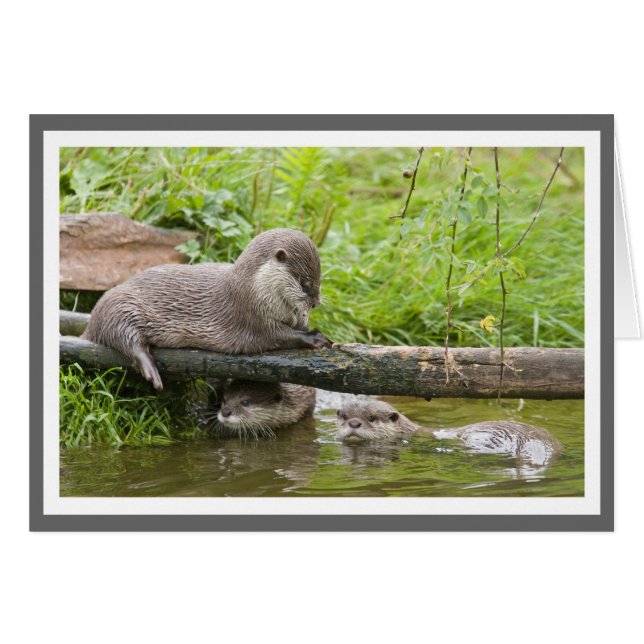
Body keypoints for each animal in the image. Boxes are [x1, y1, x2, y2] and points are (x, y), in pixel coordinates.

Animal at [82, 228, 332, 390]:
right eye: (304, 284)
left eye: (319, 282)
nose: (315, 303)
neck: (255, 288)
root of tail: (90, 324)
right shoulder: (250, 315)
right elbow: (277, 335)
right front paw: (314, 337)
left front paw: (307, 325)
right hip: (119, 306)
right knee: (125, 338)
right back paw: (150, 368)